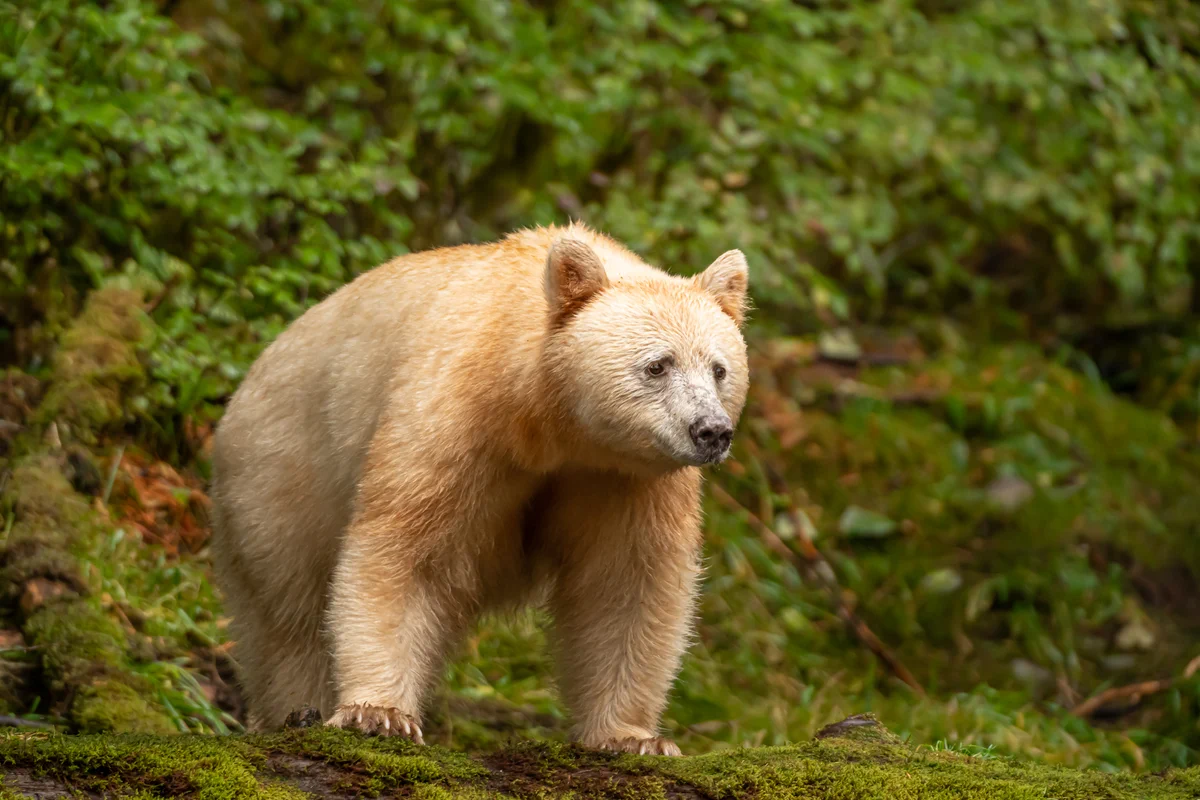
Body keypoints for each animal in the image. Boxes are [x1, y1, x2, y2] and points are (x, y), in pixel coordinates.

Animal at [208, 222, 750, 755]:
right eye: (658, 364)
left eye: (719, 369)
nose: (711, 431)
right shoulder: (456, 417)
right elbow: (404, 550)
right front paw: (379, 713)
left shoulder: (623, 478)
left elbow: (625, 583)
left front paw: (632, 737)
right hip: (279, 476)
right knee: (291, 618)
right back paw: (296, 711)